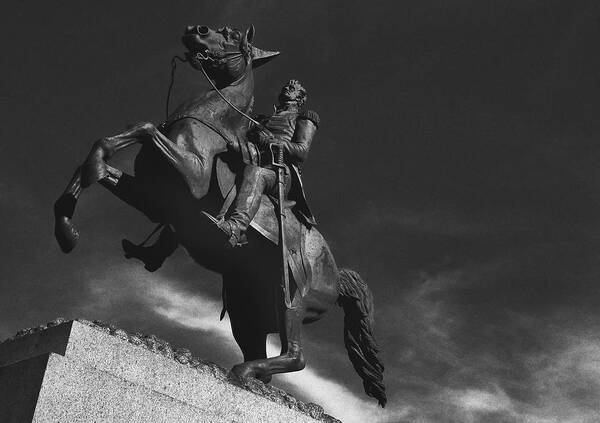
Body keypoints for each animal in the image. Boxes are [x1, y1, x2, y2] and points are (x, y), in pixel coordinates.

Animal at [54, 24, 386, 408]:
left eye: (229, 35)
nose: (194, 30)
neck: (210, 123)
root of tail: (337, 274)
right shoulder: (152, 198)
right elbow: (103, 154)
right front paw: (66, 229)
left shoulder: (192, 175)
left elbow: (145, 128)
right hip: (247, 310)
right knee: (263, 356)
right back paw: (251, 376)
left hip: (292, 297)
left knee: (296, 354)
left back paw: (244, 370)